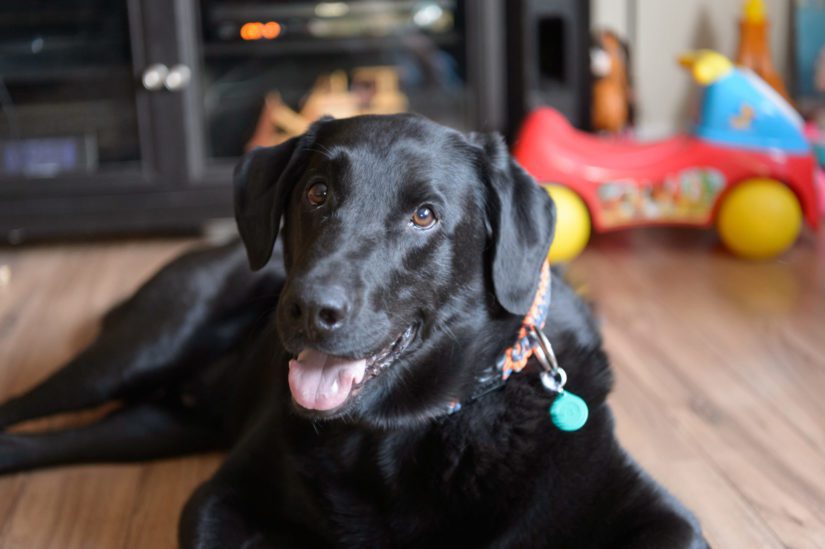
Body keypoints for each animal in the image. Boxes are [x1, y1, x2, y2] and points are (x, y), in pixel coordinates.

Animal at [0, 113, 708, 544]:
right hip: (141, 349)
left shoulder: (659, 515)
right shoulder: (219, 496)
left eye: (425, 215)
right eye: (315, 193)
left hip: (157, 425)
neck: (401, 433)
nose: (309, 308)